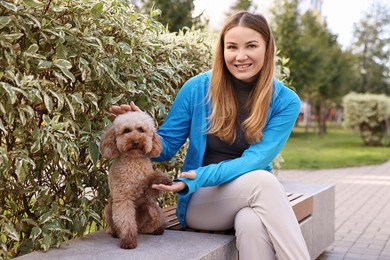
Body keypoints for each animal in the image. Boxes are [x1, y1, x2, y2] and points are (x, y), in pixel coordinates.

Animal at [100, 110, 171, 249]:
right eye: (126, 130)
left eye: (141, 129)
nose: (136, 142)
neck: (134, 160)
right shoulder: (123, 198)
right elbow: (125, 220)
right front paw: (128, 240)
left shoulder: (148, 191)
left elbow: (152, 179)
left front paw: (162, 179)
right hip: (109, 209)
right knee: (116, 226)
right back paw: (116, 233)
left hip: (152, 208)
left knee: (148, 226)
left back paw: (156, 229)